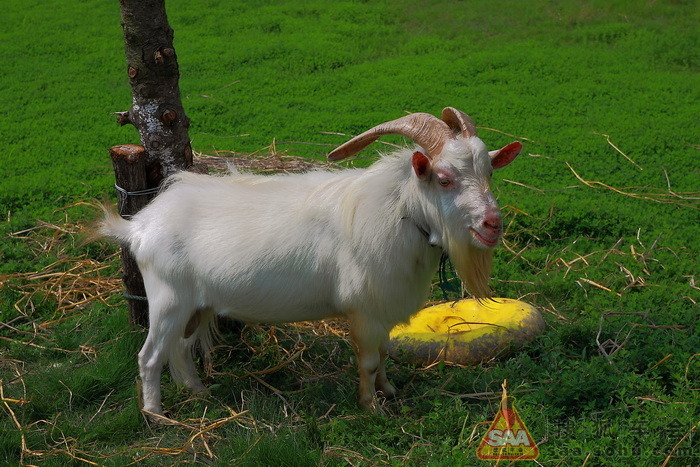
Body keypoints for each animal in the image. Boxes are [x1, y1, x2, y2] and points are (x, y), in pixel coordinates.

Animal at [101, 108, 524, 414]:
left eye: (490, 172)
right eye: (444, 178)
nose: (492, 224)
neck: (399, 211)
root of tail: (139, 226)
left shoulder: (384, 308)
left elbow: (385, 355)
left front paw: (389, 390)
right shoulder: (364, 310)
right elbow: (369, 361)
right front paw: (371, 407)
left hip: (194, 305)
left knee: (182, 348)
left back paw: (200, 391)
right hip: (168, 299)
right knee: (150, 356)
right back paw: (156, 415)